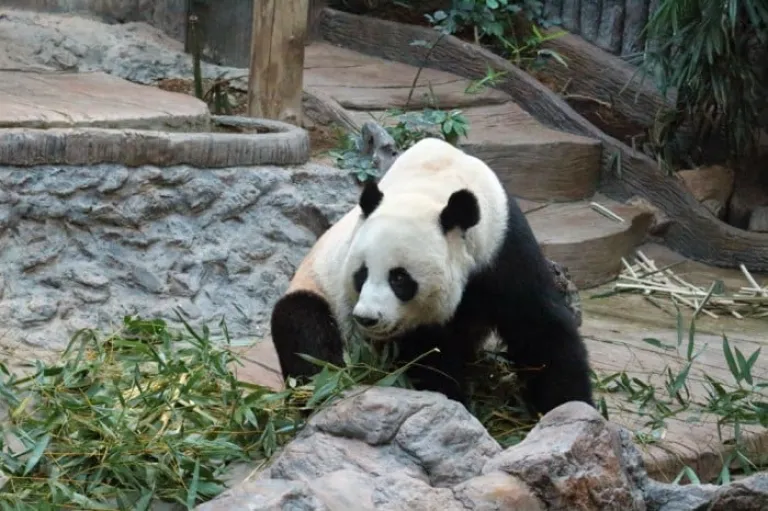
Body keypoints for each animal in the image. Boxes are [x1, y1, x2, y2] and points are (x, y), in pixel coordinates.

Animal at [270, 137, 594, 417]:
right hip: (318, 287)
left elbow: (537, 328)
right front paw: (453, 404)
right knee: (304, 330)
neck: (430, 187)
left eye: (399, 278)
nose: (367, 318)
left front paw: (569, 406)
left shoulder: (502, 246)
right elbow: (427, 357)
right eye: (361, 274)